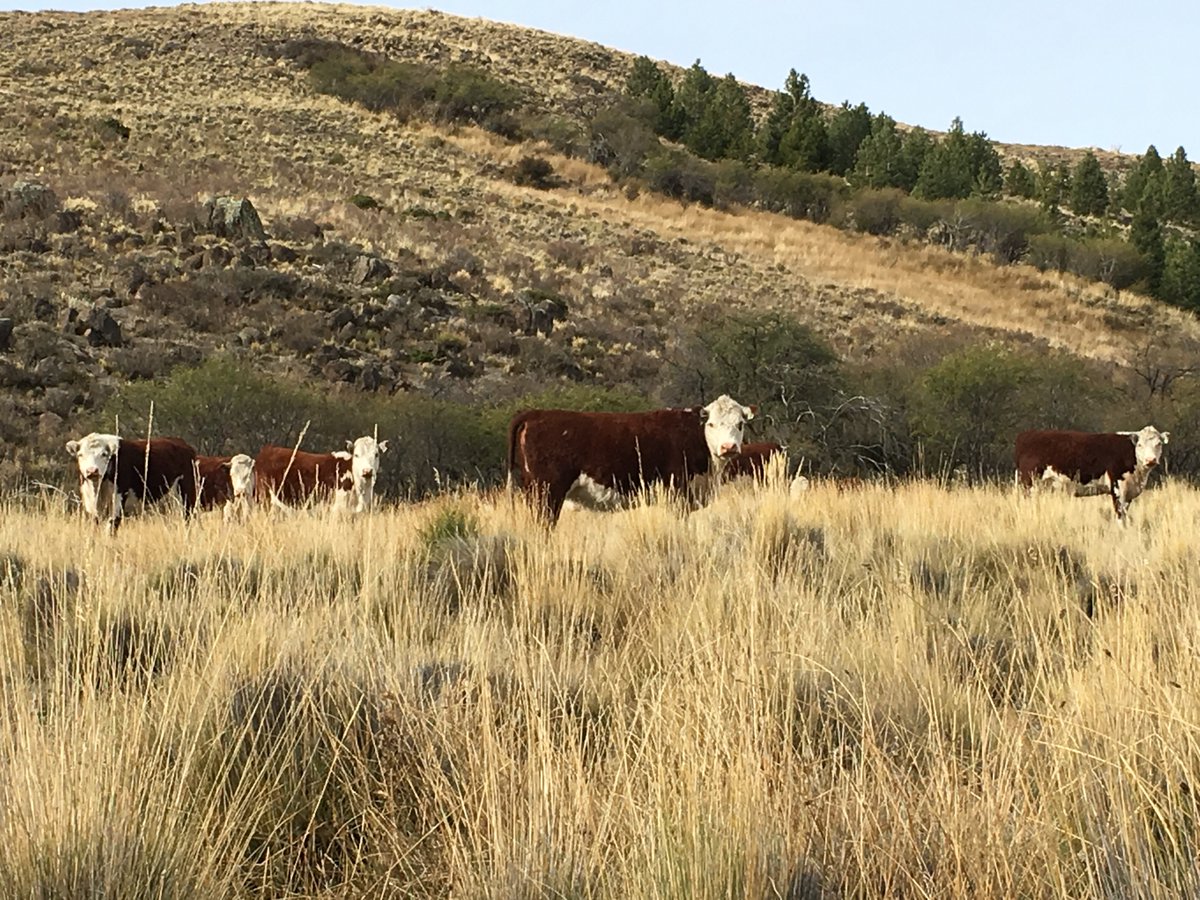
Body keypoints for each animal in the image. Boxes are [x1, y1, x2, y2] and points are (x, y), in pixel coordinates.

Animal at [65, 433, 198, 532]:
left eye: (104, 454)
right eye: (80, 455)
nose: (92, 471)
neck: (98, 489)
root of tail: (184, 444)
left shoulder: (118, 499)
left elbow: (111, 527)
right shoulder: (91, 504)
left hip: (186, 496)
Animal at [507, 394, 756, 524]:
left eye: (740, 424)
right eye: (711, 424)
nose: (728, 447)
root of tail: (535, 414)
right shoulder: (678, 493)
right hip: (546, 493)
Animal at [1014, 426, 1170, 522]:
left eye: (1158, 444)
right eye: (1140, 445)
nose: (1151, 460)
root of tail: (1026, 434)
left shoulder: (1129, 493)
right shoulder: (1118, 488)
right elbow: (1120, 516)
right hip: (1029, 483)